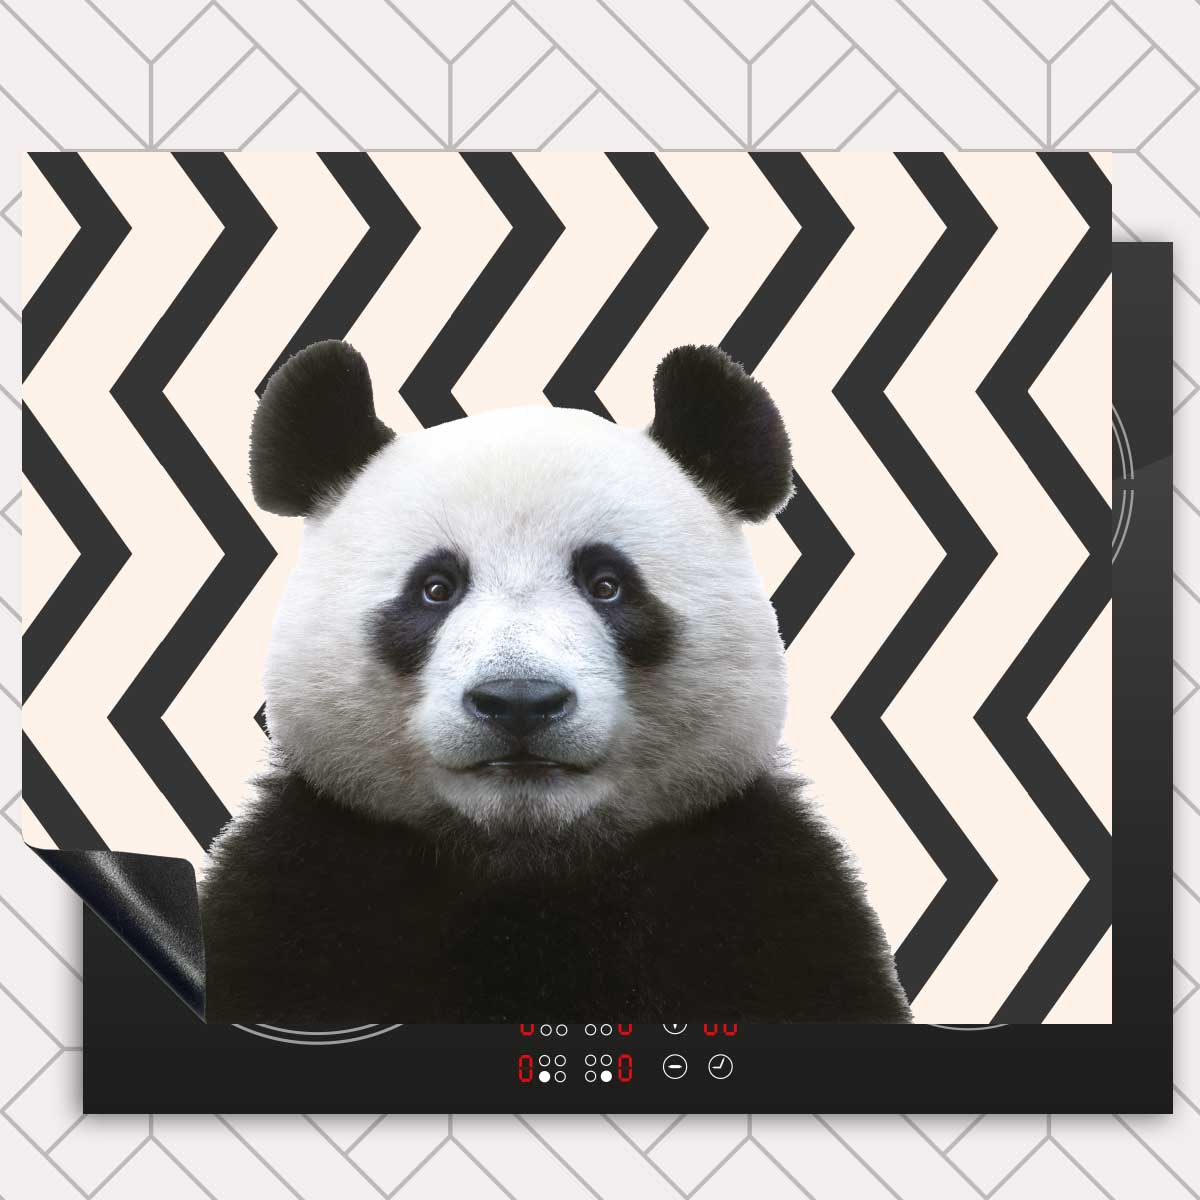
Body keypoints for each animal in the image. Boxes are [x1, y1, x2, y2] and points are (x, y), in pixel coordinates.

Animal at [199, 339, 911, 1025]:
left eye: (607, 584)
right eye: (435, 588)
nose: (519, 702)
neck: (530, 866)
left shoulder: (758, 895)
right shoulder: (305, 888)